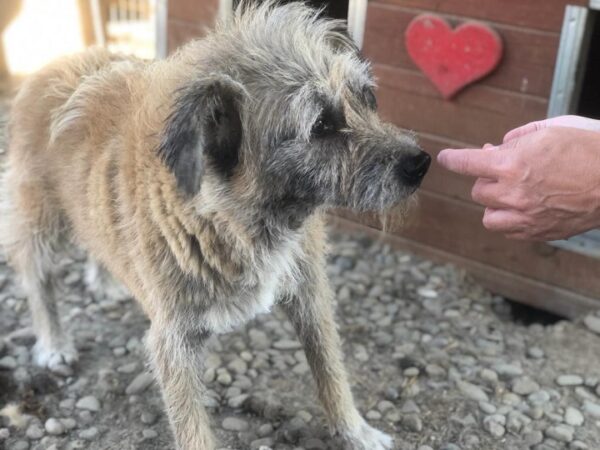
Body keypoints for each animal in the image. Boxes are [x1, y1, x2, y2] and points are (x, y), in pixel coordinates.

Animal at [0, 1, 432, 448]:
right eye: (322, 126)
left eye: (367, 97)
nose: (421, 164)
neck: (238, 218)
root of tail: (48, 67)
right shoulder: (172, 343)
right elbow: (193, 429)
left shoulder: (311, 297)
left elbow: (331, 370)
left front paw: (355, 430)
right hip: (37, 224)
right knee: (37, 280)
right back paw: (53, 342)